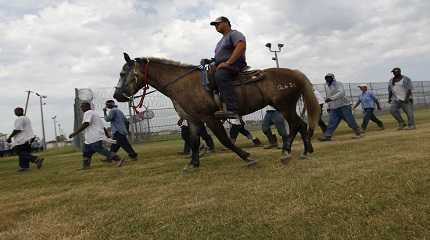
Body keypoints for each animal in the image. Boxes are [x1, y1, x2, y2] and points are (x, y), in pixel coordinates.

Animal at [113, 52, 320, 169]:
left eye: (123, 73)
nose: (117, 95)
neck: (183, 84)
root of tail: (294, 73)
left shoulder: (209, 118)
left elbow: (225, 140)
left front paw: (247, 157)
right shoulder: (194, 120)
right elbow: (194, 142)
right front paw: (193, 163)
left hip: (284, 106)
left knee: (295, 125)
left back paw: (287, 152)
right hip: (287, 106)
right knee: (301, 125)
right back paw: (305, 151)